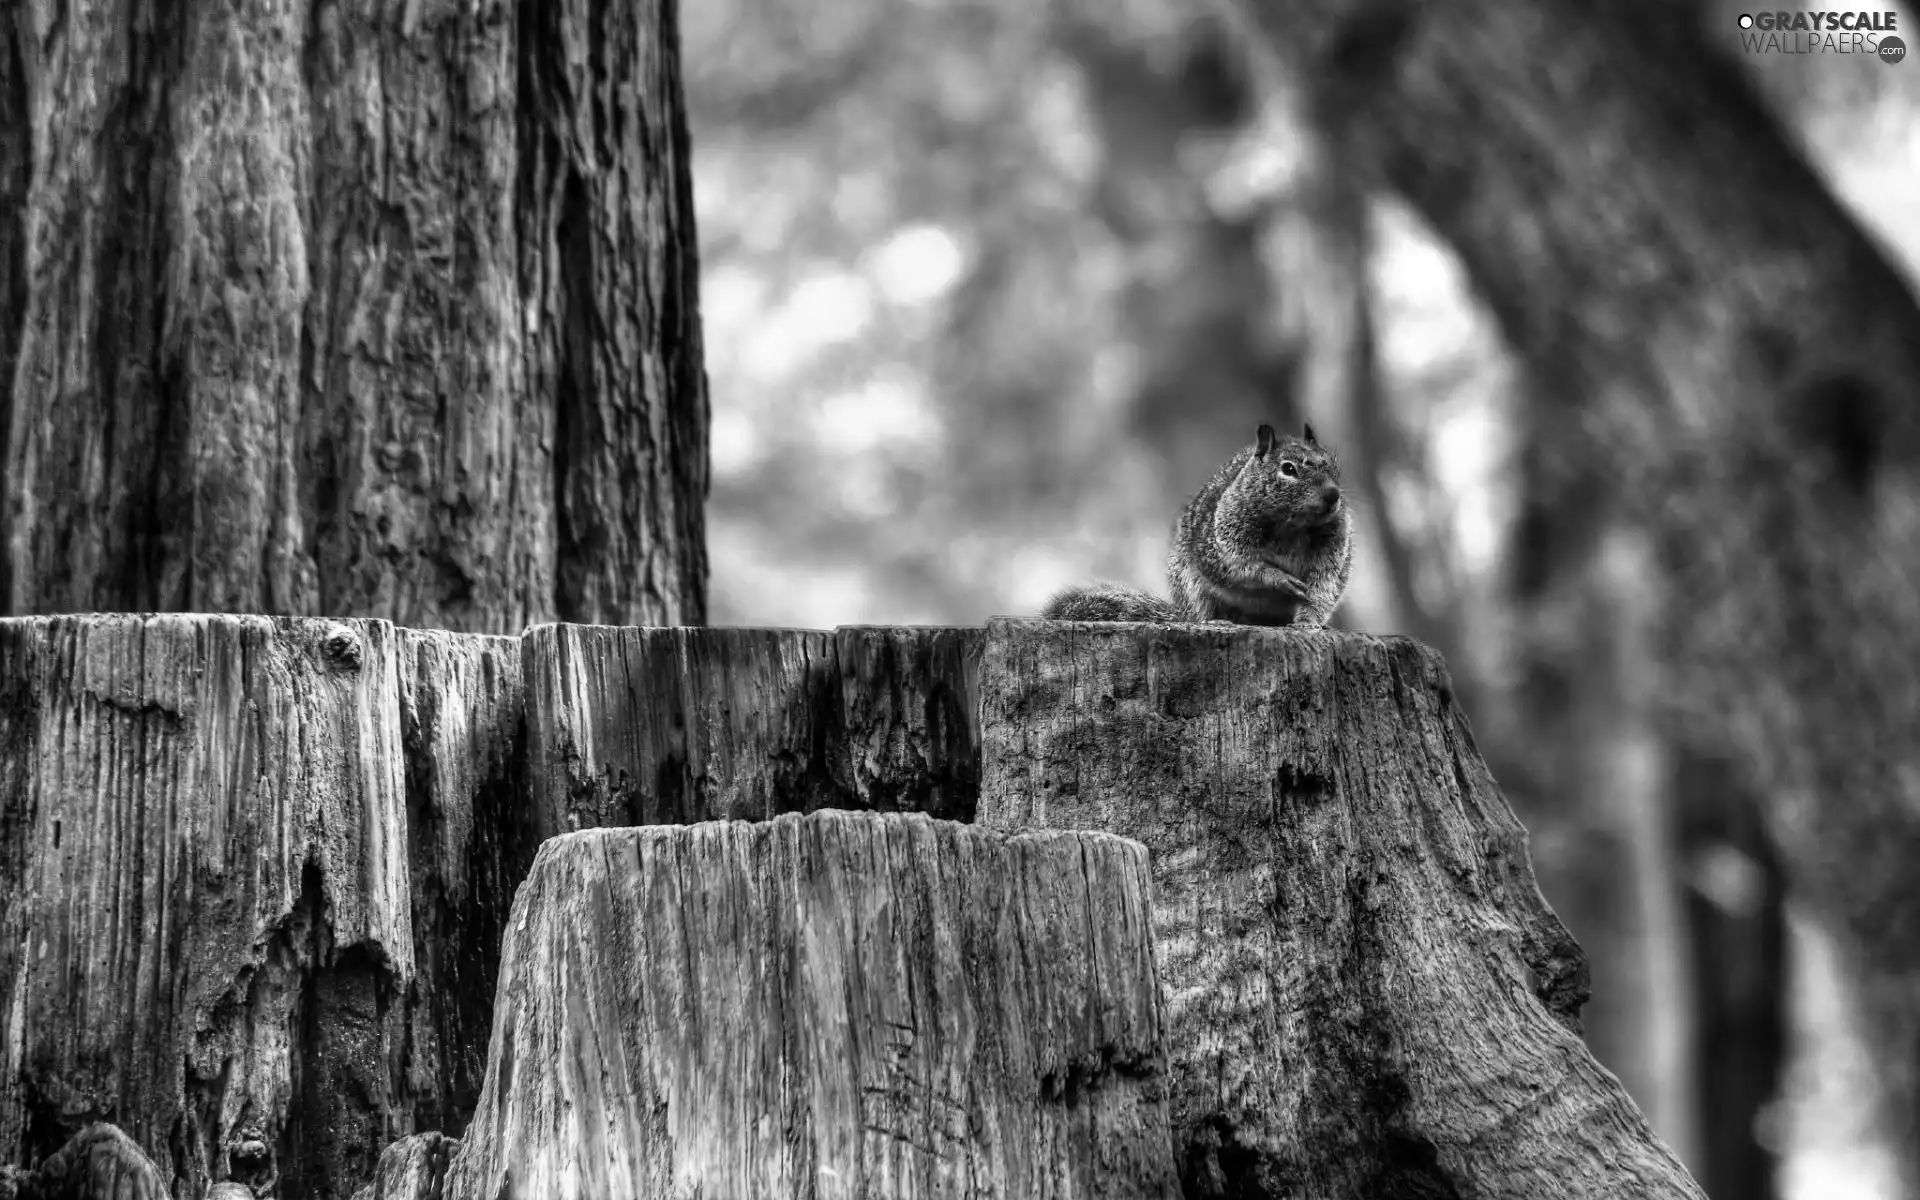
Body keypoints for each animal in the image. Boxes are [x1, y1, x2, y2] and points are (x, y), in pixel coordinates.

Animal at [1052, 420, 1351, 625]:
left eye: (1335, 465)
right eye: (1288, 469)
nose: (1333, 495)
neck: (1293, 526)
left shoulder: (1331, 553)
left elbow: (1322, 588)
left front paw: (1308, 623)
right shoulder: (1223, 540)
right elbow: (1240, 567)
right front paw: (1277, 578)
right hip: (1190, 585)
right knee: (1200, 612)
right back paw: (1216, 621)